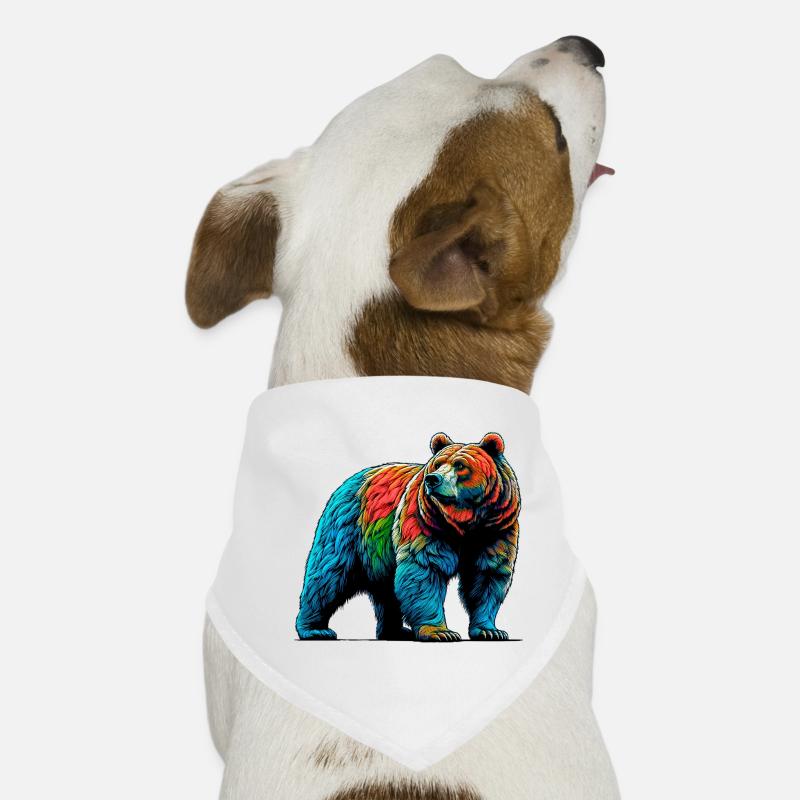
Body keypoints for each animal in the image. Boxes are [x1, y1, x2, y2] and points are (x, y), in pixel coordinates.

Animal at [296, 432, 520, 642]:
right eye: (437, 464)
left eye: (460, 465)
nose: (433, 479)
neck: (464, 524)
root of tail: (349, 480)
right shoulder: (424, 523)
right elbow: (424, 570)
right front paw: (440, 632)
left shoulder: (495, 531)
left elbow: (486, 576)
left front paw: (489, 630)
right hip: (347, 530)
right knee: (328, 575)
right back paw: (315, 629)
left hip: (380, 551)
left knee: (387, 590)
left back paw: (395, 631)